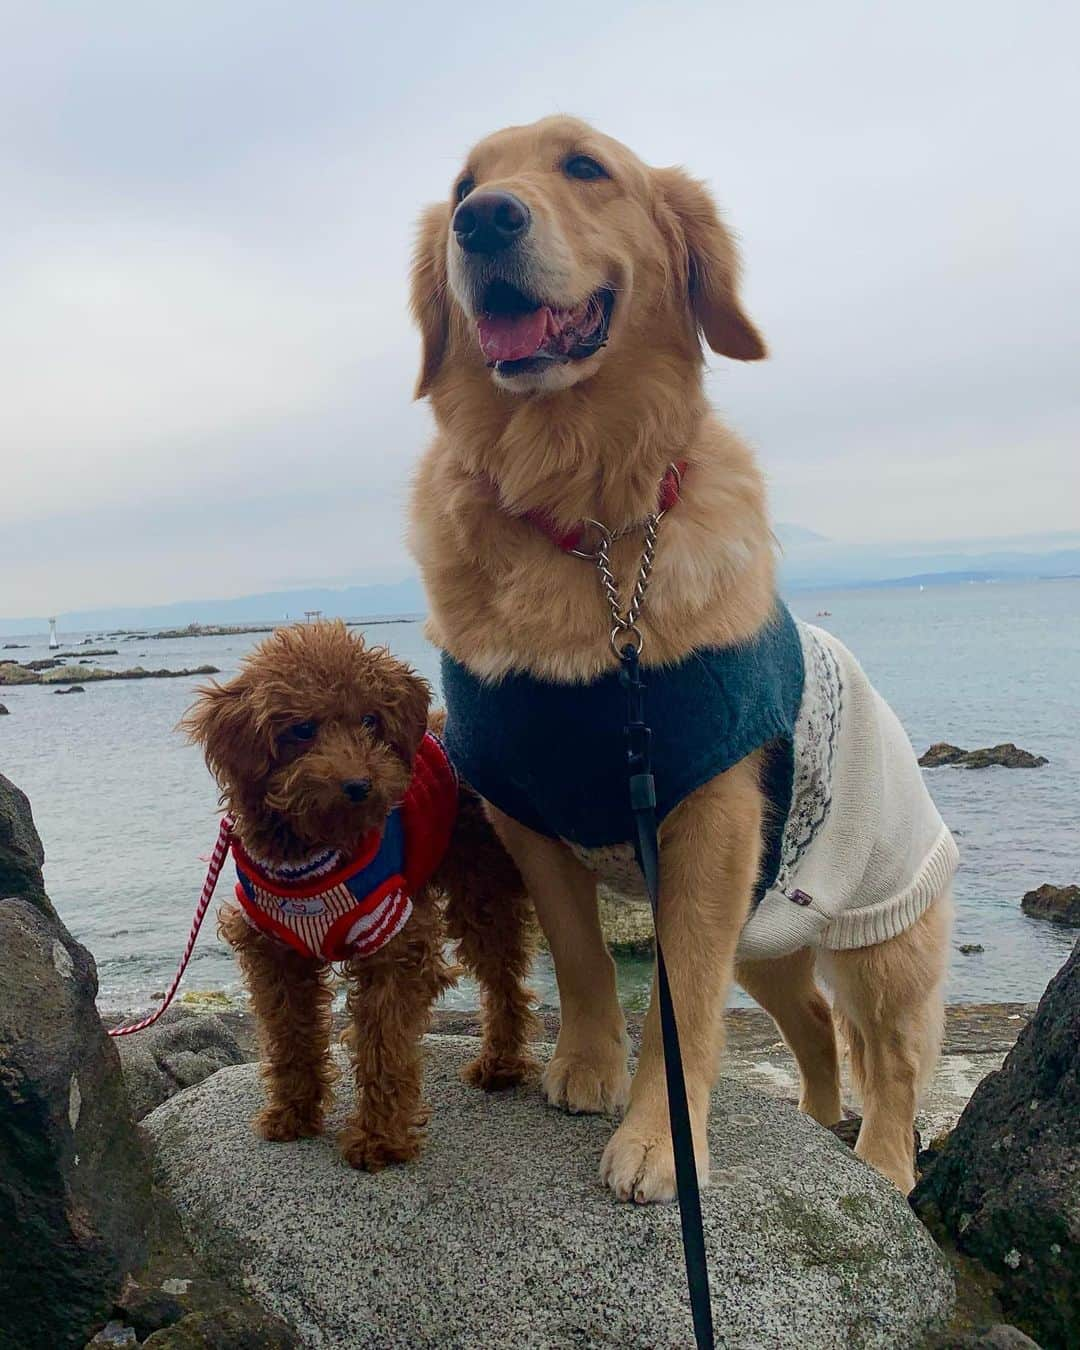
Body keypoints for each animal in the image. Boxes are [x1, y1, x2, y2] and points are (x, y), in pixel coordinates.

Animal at [187, 623, 540, 1171]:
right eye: (302, 729)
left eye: (370, 719)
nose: (359, 785)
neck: (313, 855)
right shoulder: (273, 949)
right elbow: (289, 1036)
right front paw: (292, 1113)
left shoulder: (390, 937)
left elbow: (383, 1047)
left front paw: (380, 1140)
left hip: (482, 890)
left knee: (503, 980)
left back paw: (501, 1064)